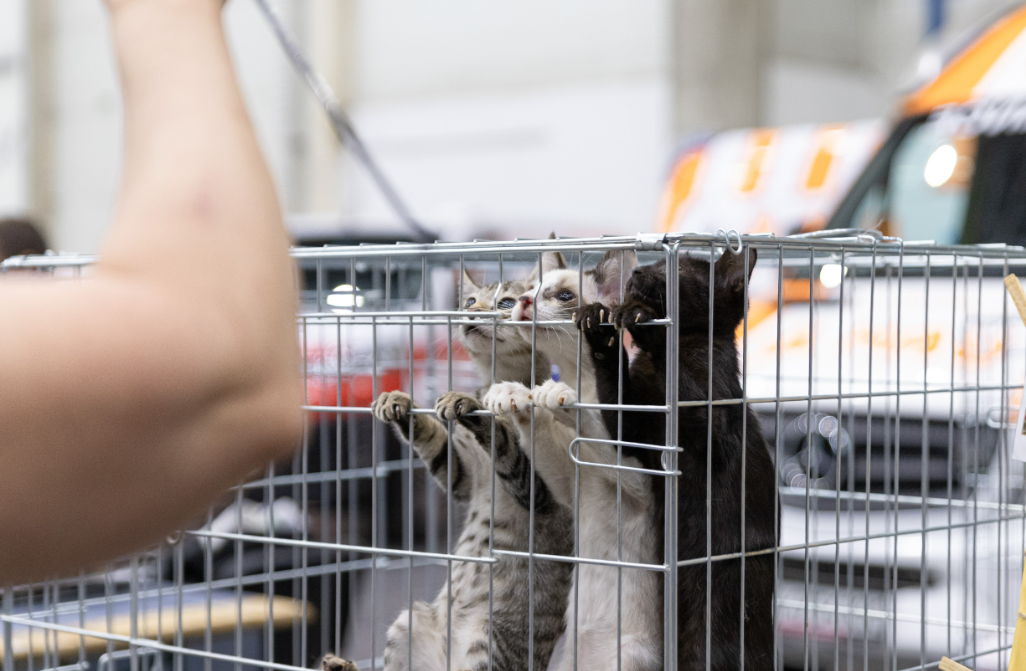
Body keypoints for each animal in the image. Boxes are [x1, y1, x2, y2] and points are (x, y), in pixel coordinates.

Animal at [484, 251, 660, 671]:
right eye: (531, 291)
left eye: (564, 296)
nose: (523, 302)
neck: (585, 380)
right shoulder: (567, 484)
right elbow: (539, 432)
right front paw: (514, 394)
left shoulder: (644, 480)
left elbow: (595, 425)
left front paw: (557, 395)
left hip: (632, 656)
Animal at [578, 247, 775, 671]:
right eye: (650, 263)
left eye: (678, 267)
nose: (637, 273)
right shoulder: (635, 432)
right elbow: (620, 405)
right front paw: (601, 330)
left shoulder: (713, 420)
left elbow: (689, 396)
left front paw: (641, 319)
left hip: (712, 621)